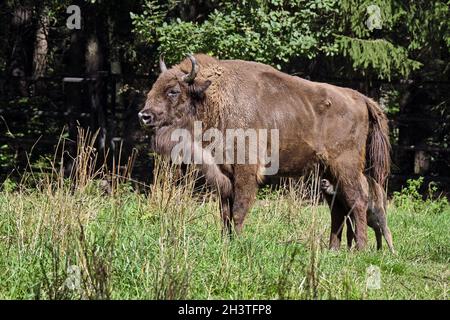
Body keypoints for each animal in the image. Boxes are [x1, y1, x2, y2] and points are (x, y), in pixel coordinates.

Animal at [140, 53, 390, 251]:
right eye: (154, 87)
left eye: (173, 91)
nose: (144, 115)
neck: (213, 97)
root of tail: (362, 99)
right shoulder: (224, 173)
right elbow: (224, 211)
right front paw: (225, 241)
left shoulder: (246, 171)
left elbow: (239, 209)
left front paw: (238, 242)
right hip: (329, 172)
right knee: (338, 208)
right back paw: (333, 250)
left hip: (345, 167)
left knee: (357, 201)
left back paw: (360, 249)